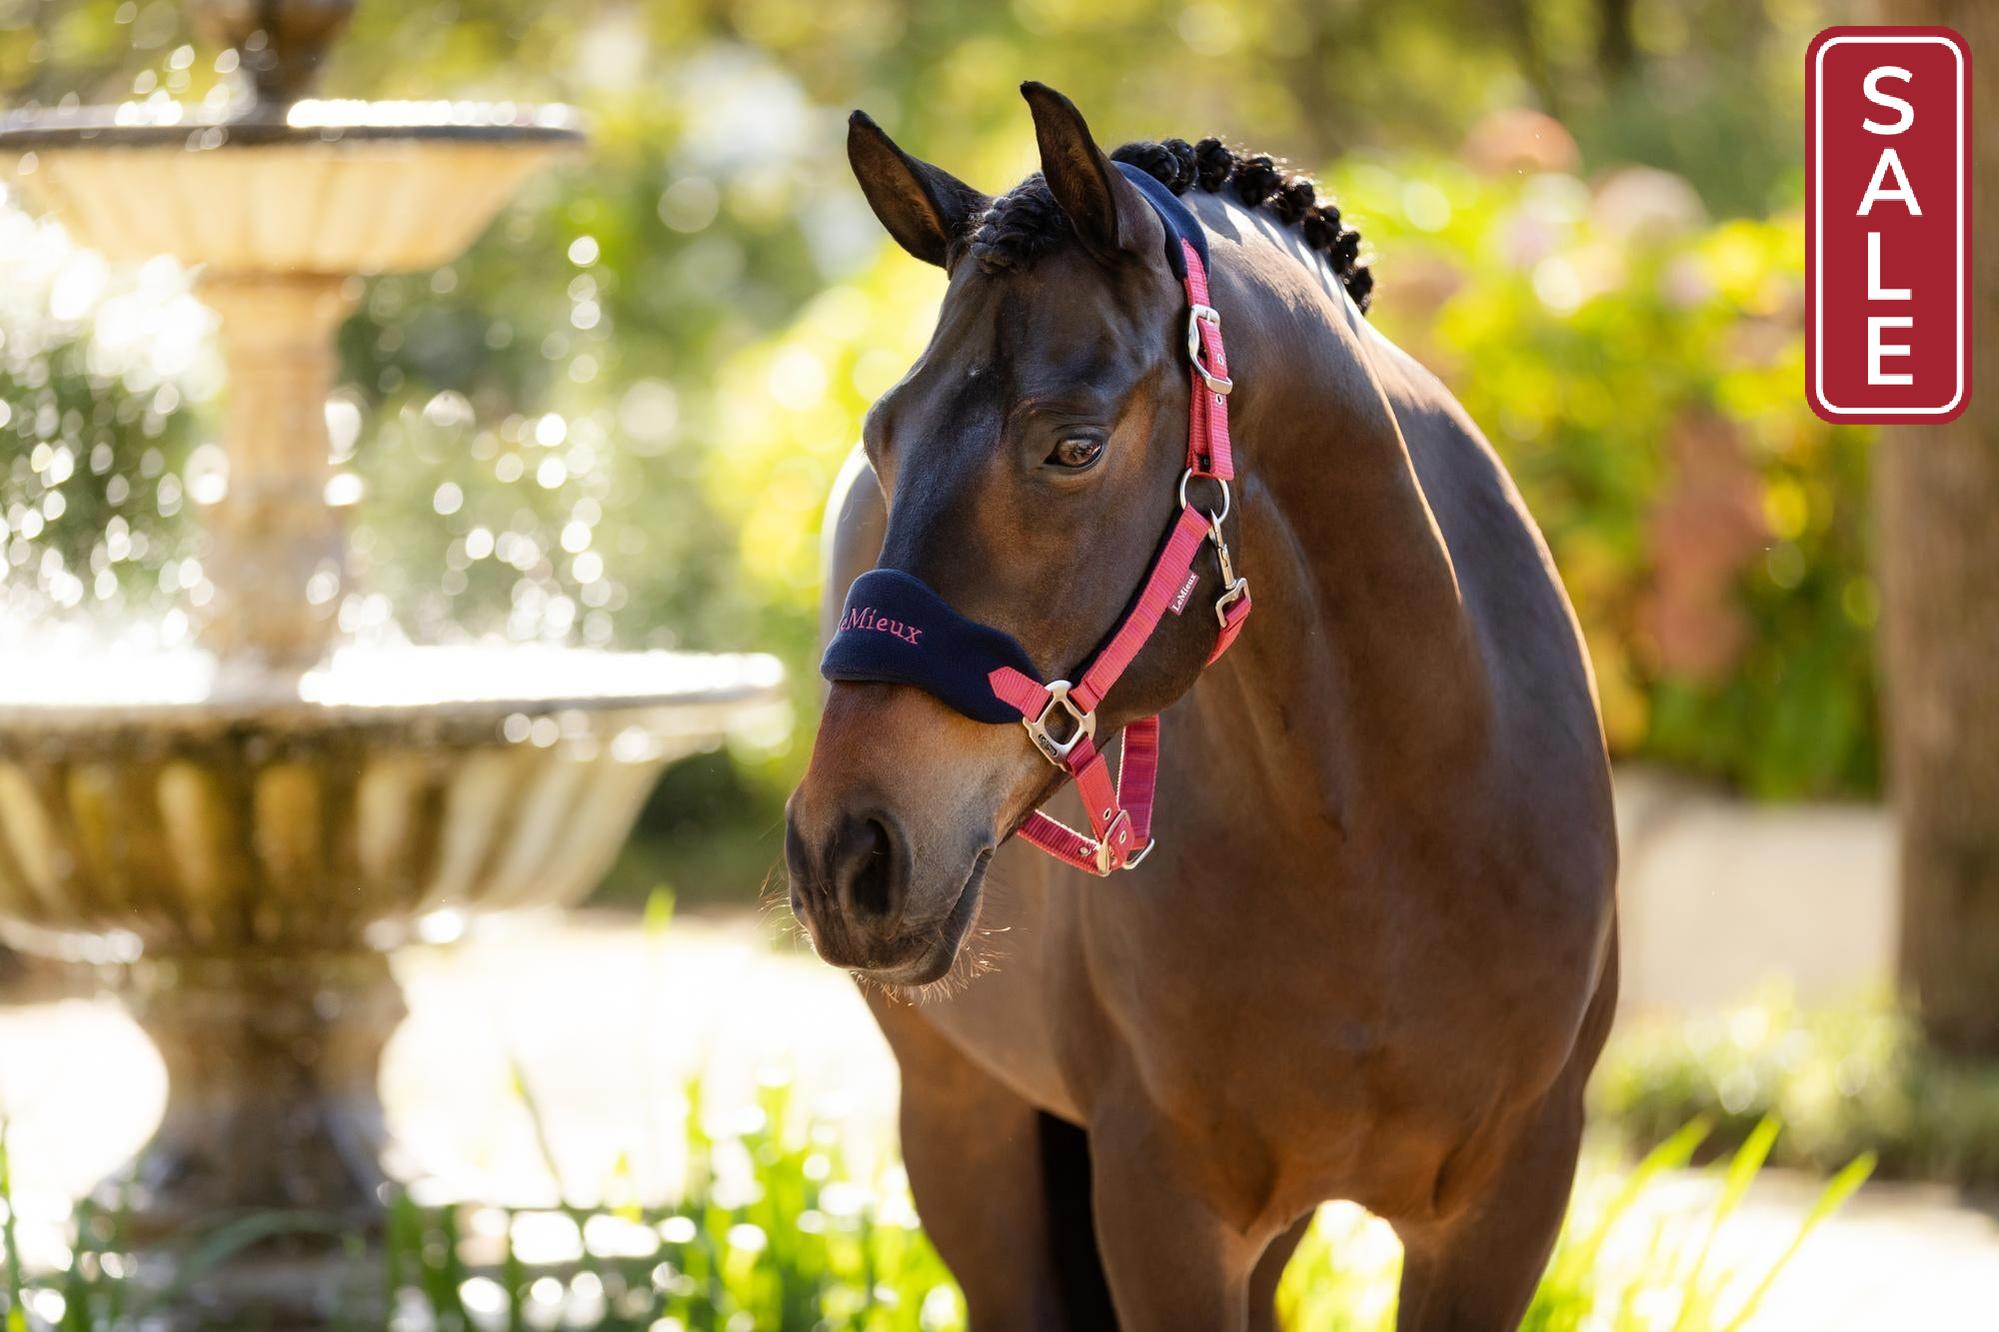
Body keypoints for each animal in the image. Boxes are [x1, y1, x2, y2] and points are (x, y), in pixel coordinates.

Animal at [784, 82, 1618, 1331]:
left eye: (1073, 446)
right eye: (883, 435)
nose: (843, 853)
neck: (1379, 844)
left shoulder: (1503, 1215)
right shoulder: (1163, 1215)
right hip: (960, 1124)